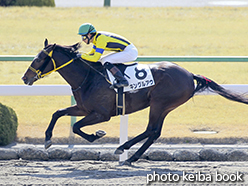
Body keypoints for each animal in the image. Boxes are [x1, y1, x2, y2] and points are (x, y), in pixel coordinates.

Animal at [21, 39, 248, 166]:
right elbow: (58, 112)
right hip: (165, 107)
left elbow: (77, 127)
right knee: (155, 132)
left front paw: (96, 135)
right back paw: (131, 157)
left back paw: (124, 149)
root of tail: (188, 73)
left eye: (39, 58)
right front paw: (48, 139)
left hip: (159, 103)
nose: (25, 78)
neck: (88, 77)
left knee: (150, 130)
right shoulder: (83, 108)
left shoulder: (101, 114)